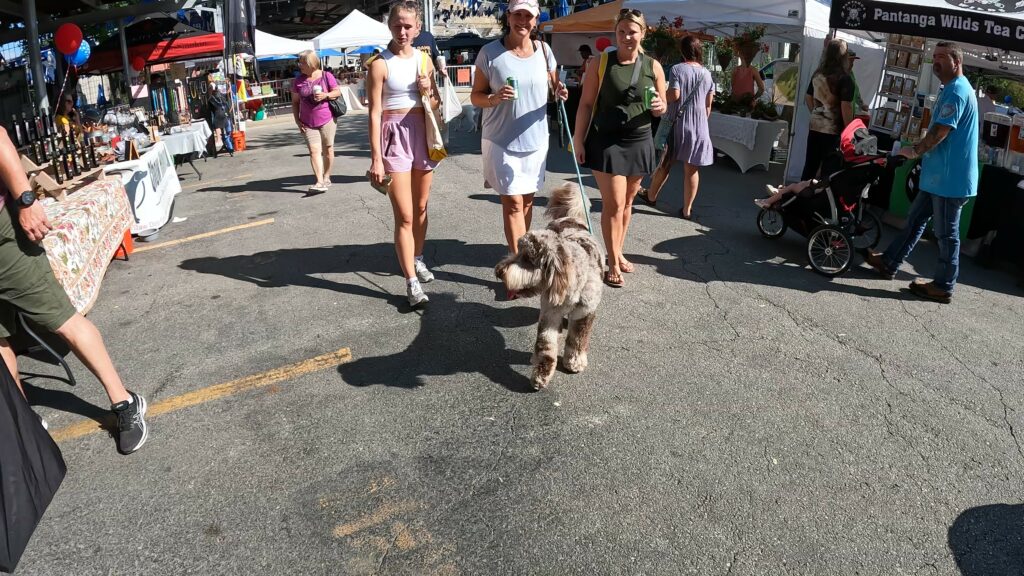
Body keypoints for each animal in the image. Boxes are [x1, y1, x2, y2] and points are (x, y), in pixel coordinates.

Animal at [493, 183, 598, 389]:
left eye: (528, 259)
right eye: (519, 252)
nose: (499, 271)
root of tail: (571, 217)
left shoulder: (585, 312)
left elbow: (578, 339)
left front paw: (575, 361)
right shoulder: (550, 312)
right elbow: (545, 345)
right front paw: (541, 373)